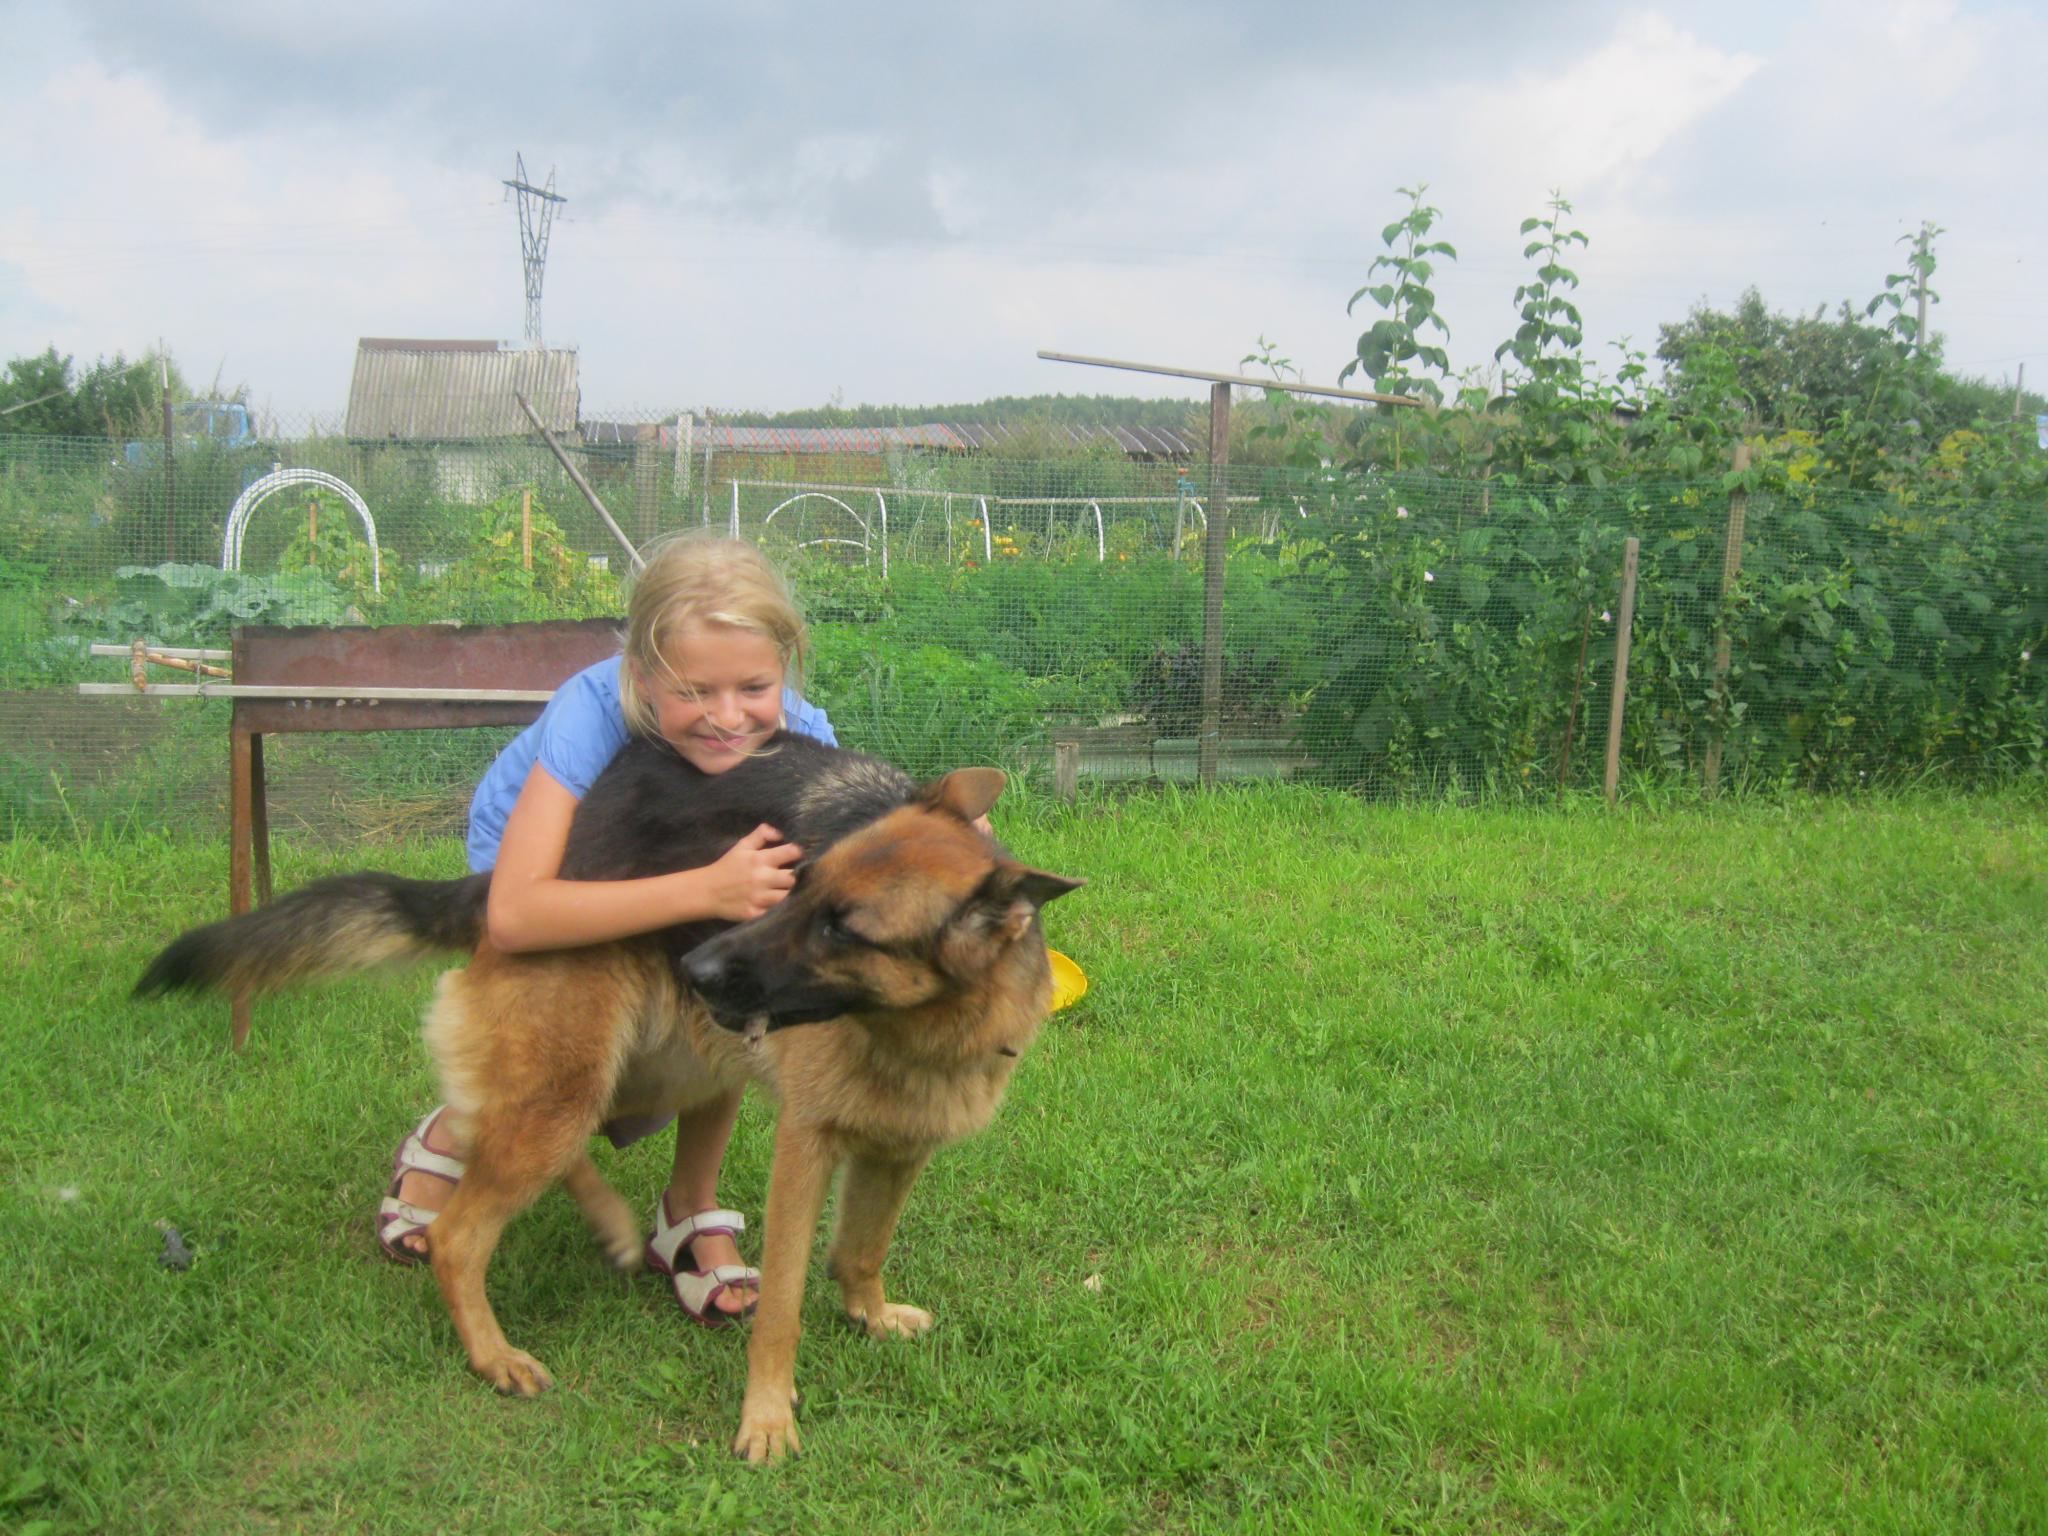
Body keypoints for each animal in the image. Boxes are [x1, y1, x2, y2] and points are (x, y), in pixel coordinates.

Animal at [135, 732, 1083, 1462]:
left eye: (841, 927)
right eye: (799, 882)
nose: (699, 966)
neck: (919, 1028)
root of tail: (504, 886)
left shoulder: (899, 1147)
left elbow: (861, 1250)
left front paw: (869, 1315)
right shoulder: (806, 1149)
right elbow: (781, 1305)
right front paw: (767, 1420)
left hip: (661, 1064)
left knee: (499, 1128)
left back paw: (612, 1227)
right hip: (573, 1082)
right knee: (463, 1230)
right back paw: (494, 1351)